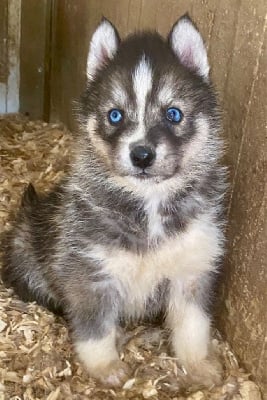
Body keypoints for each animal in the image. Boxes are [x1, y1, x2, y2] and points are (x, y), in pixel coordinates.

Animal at [2, 15, 228, 388]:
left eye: (173, 114)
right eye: (115, 116)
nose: (142, 155)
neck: (148, 204)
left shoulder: (192, 270)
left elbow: (193, 326)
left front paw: (198, 365)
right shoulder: (89, 272)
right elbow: (95, 329)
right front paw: (106, 367)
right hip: (25, 255)